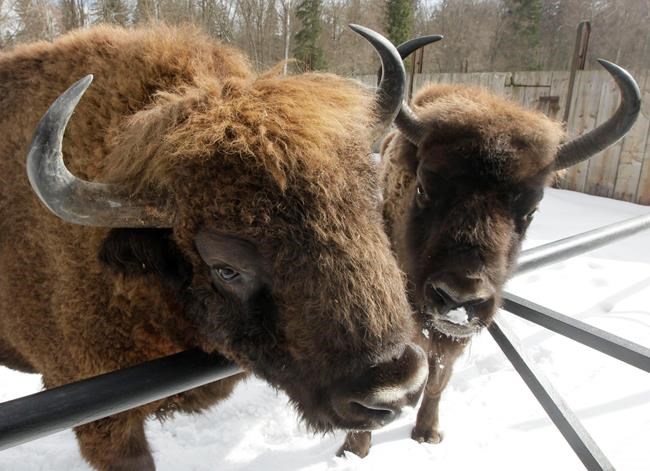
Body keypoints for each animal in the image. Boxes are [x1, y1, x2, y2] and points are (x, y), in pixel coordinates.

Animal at [339, 39, 641, 457]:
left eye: (530, 209)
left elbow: (439, 376)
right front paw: (355, 450)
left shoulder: (451, 338)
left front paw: (427, 432)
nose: (459, 298)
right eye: (424, 187)